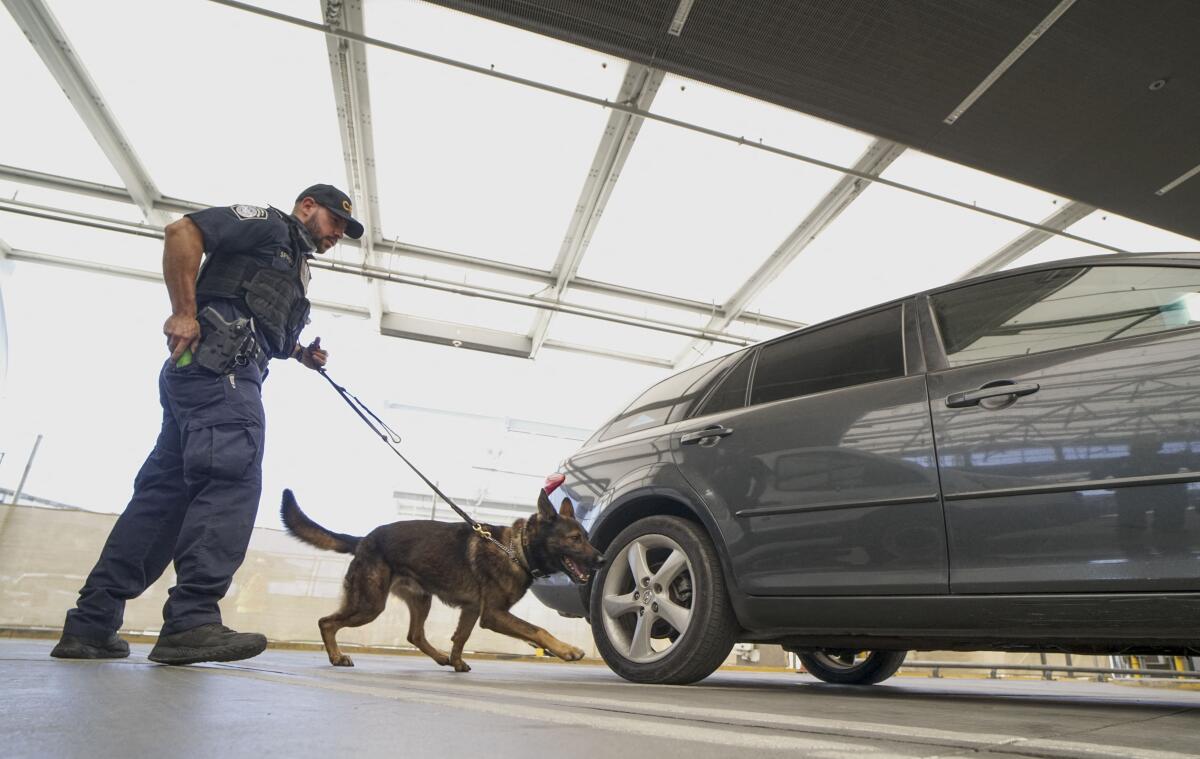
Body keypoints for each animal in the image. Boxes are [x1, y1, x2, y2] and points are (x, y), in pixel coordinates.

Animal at [278, 485, 600, 667]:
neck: (515, 549)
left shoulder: (472, 611)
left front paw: (457, 662)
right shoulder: (493, 614)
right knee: (326, 622)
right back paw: (335, 656)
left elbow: (461, 637)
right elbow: (538, 630)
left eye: (586, 537)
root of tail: (363, 540)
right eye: (574, 539)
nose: (602, 559)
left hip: (420, 600)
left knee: (415, 634)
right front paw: (567, 650)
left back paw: (440, 658)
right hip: (370, 604)